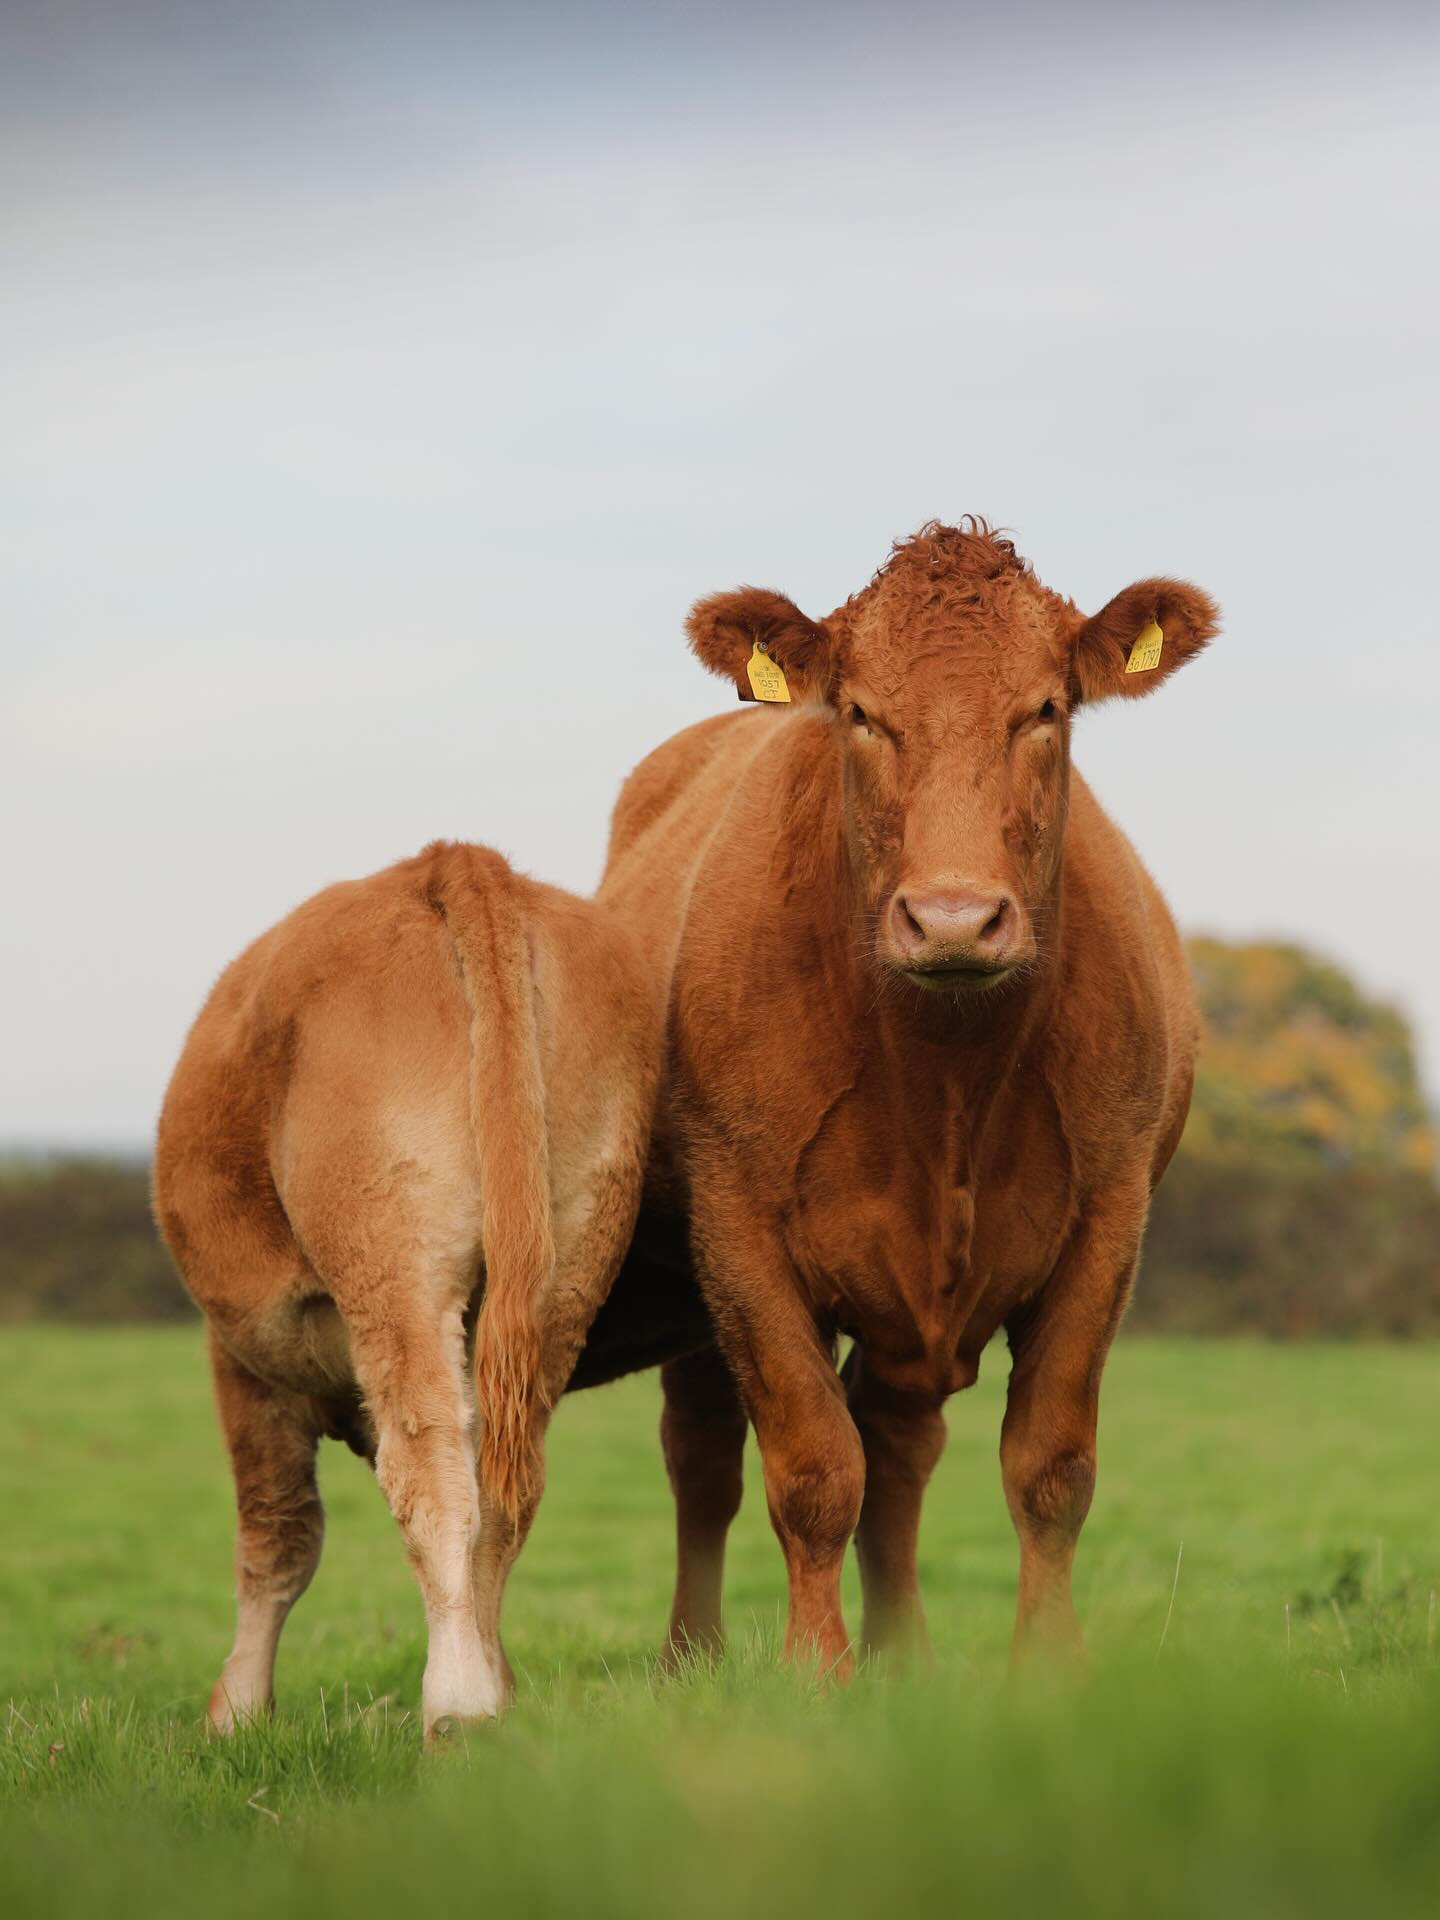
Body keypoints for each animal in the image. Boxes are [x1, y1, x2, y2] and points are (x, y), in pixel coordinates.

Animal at [153, 840, 659, 1738]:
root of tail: (453, 861)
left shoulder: (242, 1358)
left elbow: (276, 1535)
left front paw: (236, 1714)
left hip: (395, 1273)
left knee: (433, 1478)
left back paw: (456, 1708)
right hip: (565, 1267)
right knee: (504, 1488)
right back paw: (489, 1699)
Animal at [598, 520, 1218, 1676]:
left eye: (1045, 709)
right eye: (863, 714)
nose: (954, 918)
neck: (946, 1080)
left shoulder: (1108, 1221)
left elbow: (1051, 1467)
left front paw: (1047, 1671)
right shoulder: (737, 1230)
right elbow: (810, 1470)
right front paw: (816, 1674)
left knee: (898, 1445)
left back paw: (905, 1659)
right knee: (705, 1457)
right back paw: (693, 1654)